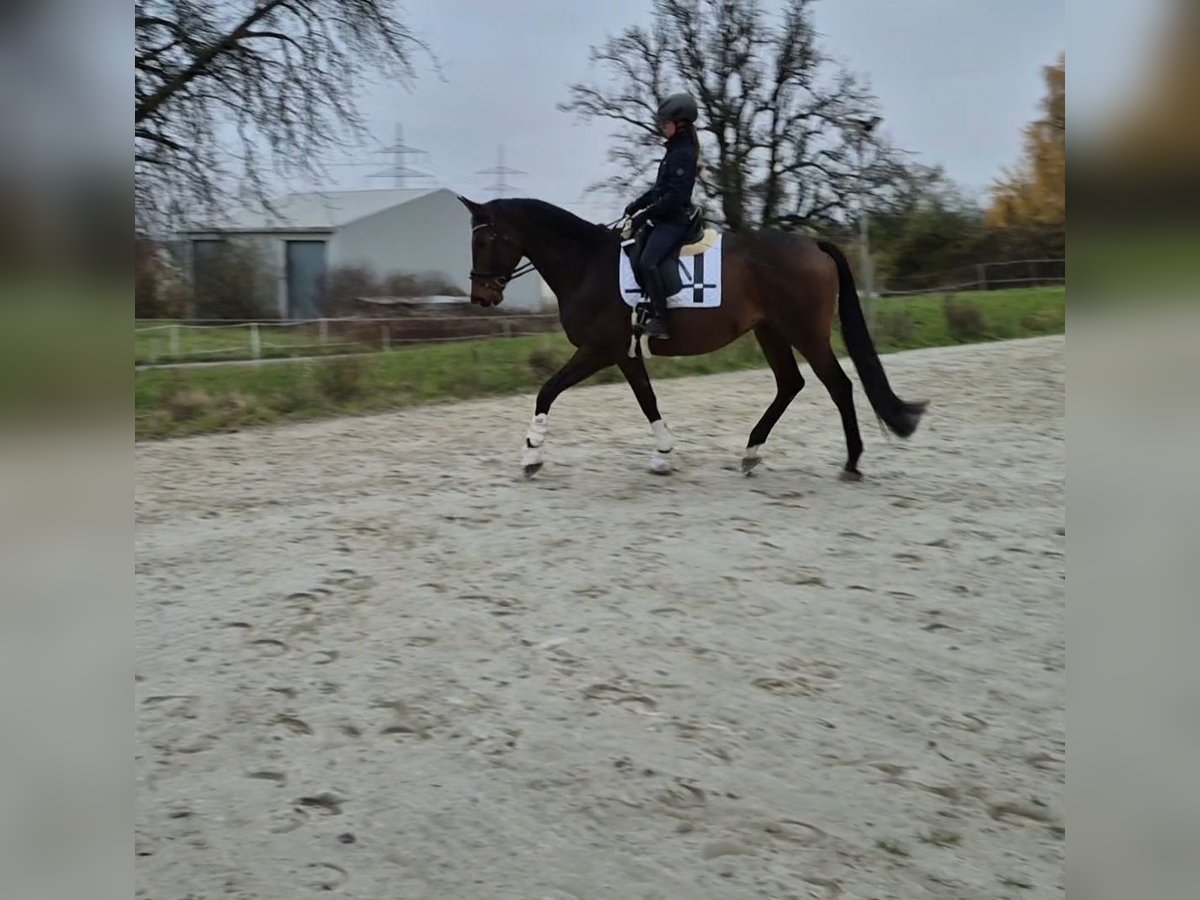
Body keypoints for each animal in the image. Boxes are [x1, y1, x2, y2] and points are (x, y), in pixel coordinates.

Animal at [458, 195, 927, 480]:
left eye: (485, 240)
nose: (481, 296)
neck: (586, 263)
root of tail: (813, 246)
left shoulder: (597, 351)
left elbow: (547, 391)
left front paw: (531, 454)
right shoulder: (624, 353)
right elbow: (647, 399)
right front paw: (664, 455)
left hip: (805, 332)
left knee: (839, 386)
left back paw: (851, 462)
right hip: (771, 331)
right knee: (790, 384)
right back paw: (751, 453)